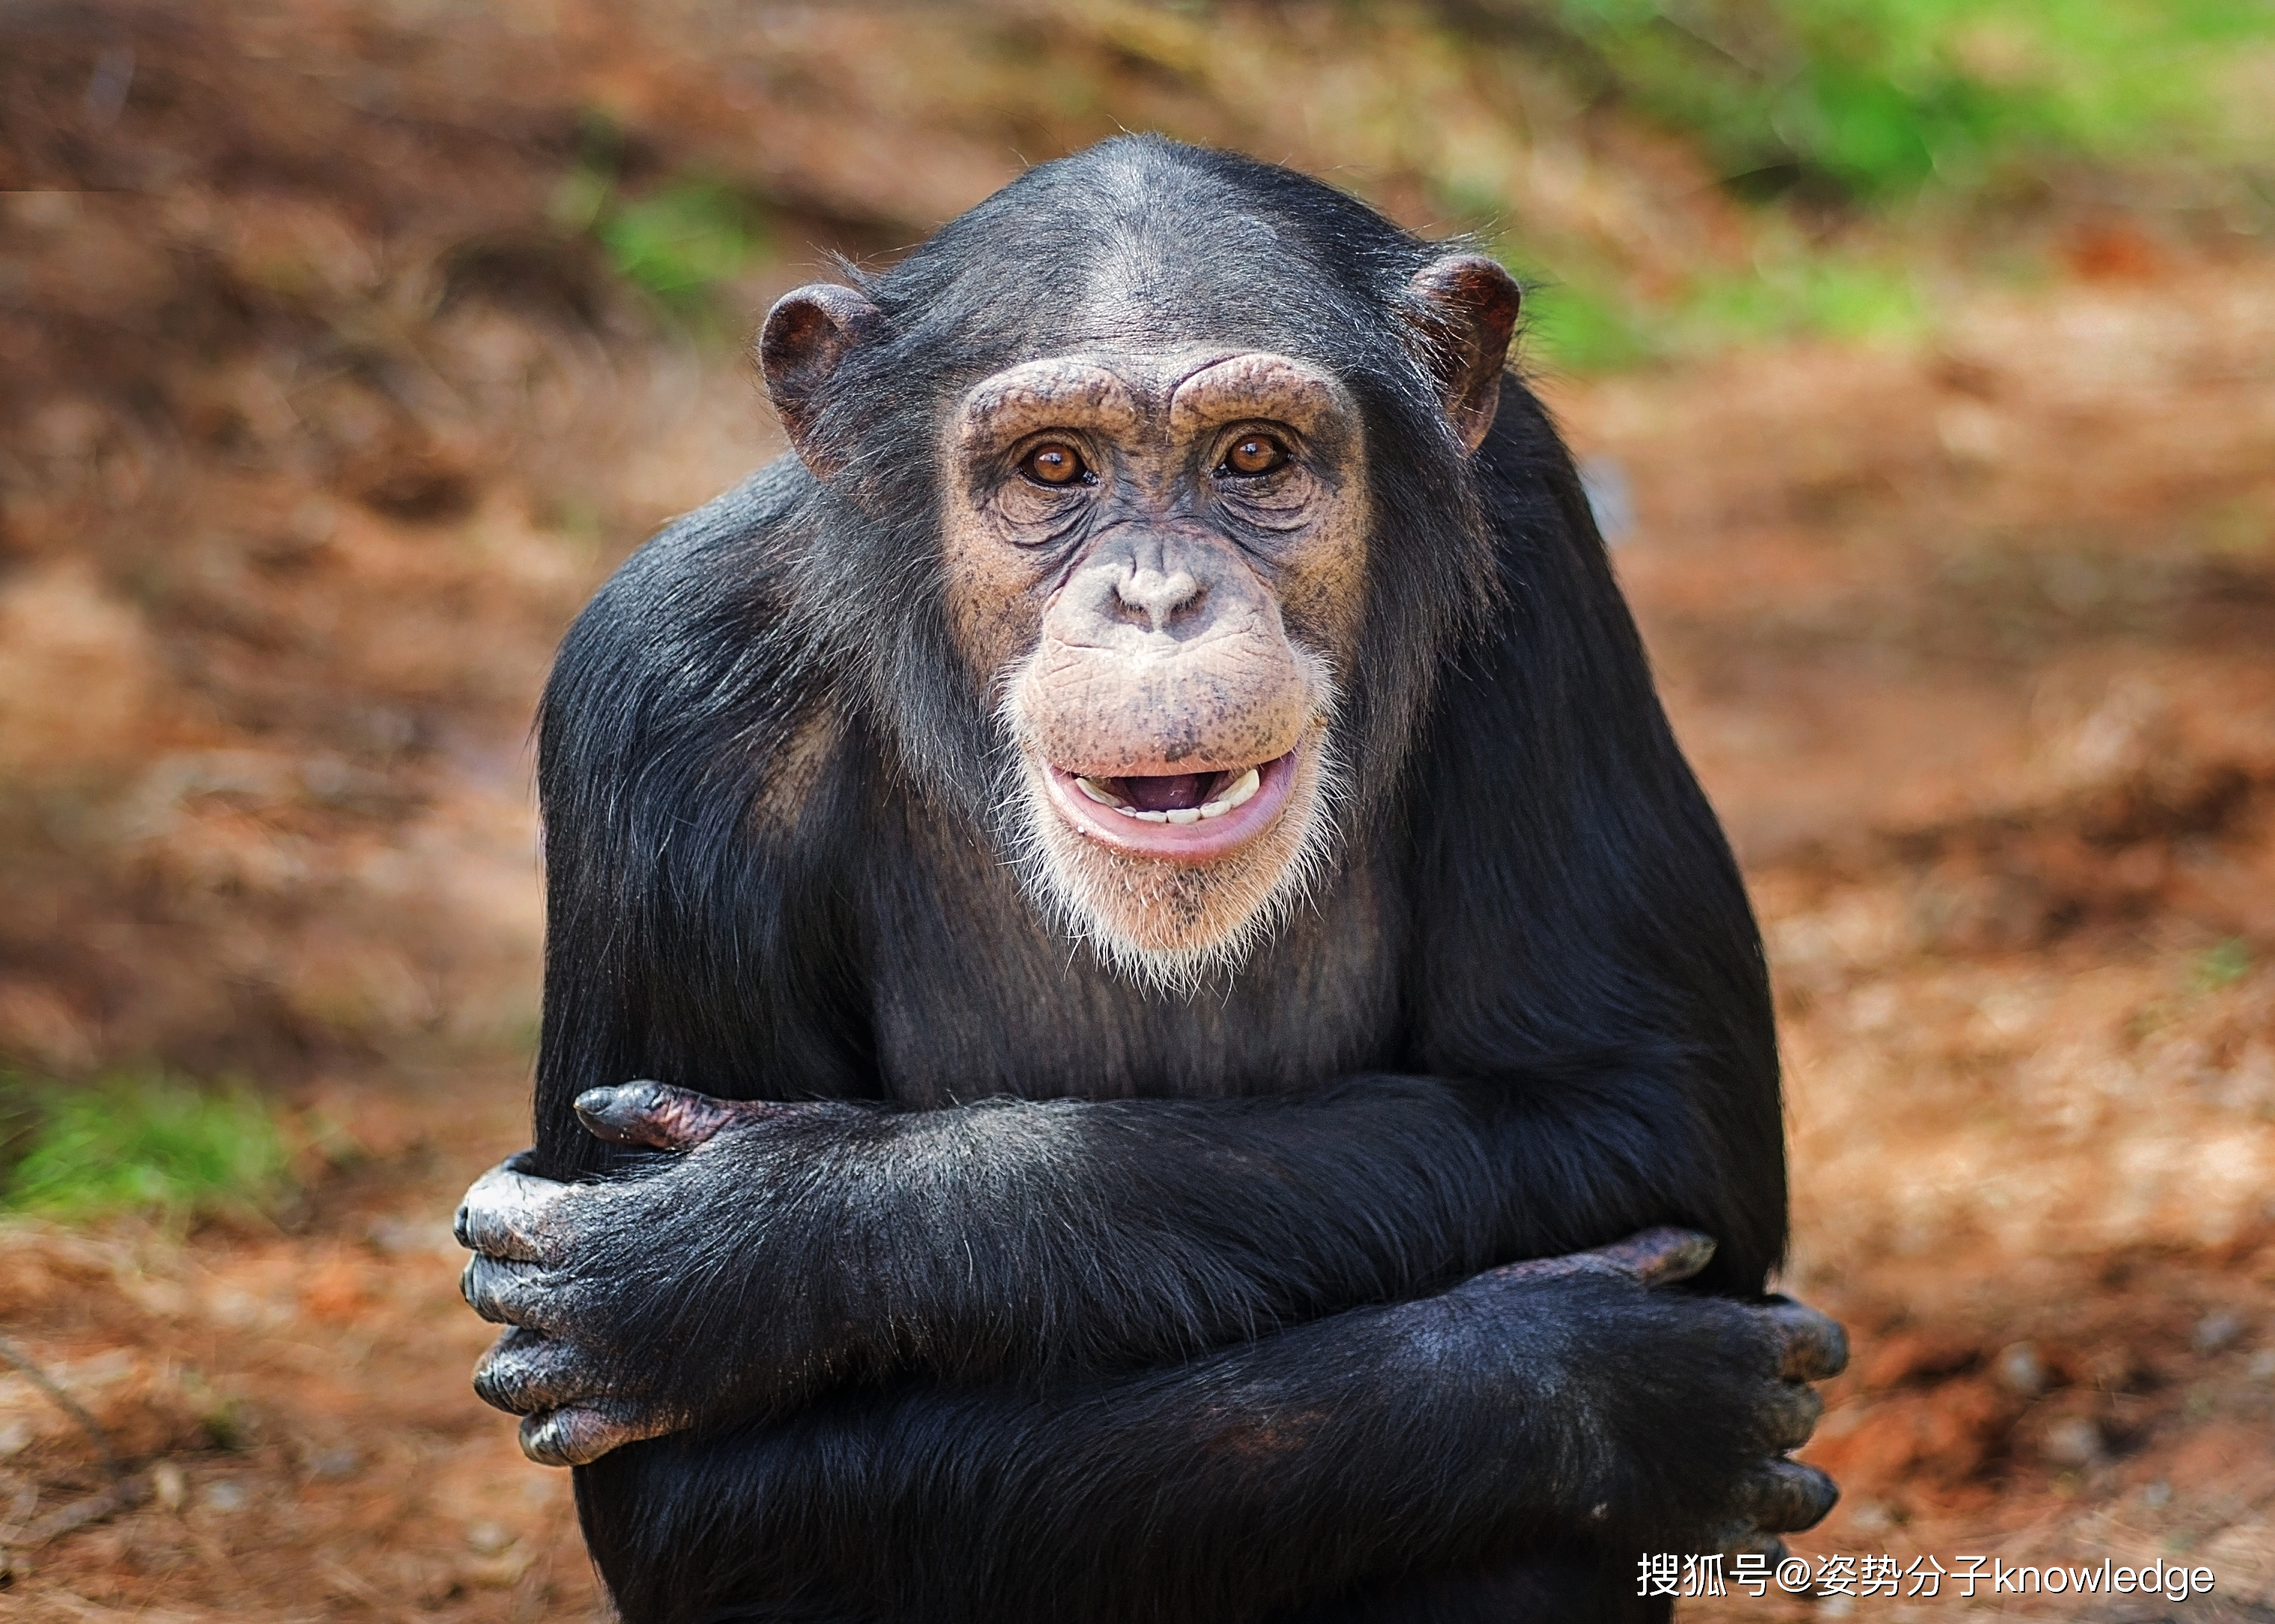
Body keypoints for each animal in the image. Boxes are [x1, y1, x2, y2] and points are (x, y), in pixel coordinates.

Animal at [452, 139, 1838, 1619]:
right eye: (1053, 464)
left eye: (1255, 456)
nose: (1159, 599)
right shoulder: (662, 700)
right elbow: (702, 1485)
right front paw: (1598, 1376)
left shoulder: (1536, 538)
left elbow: (1643, 1108)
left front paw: (762, 1237)